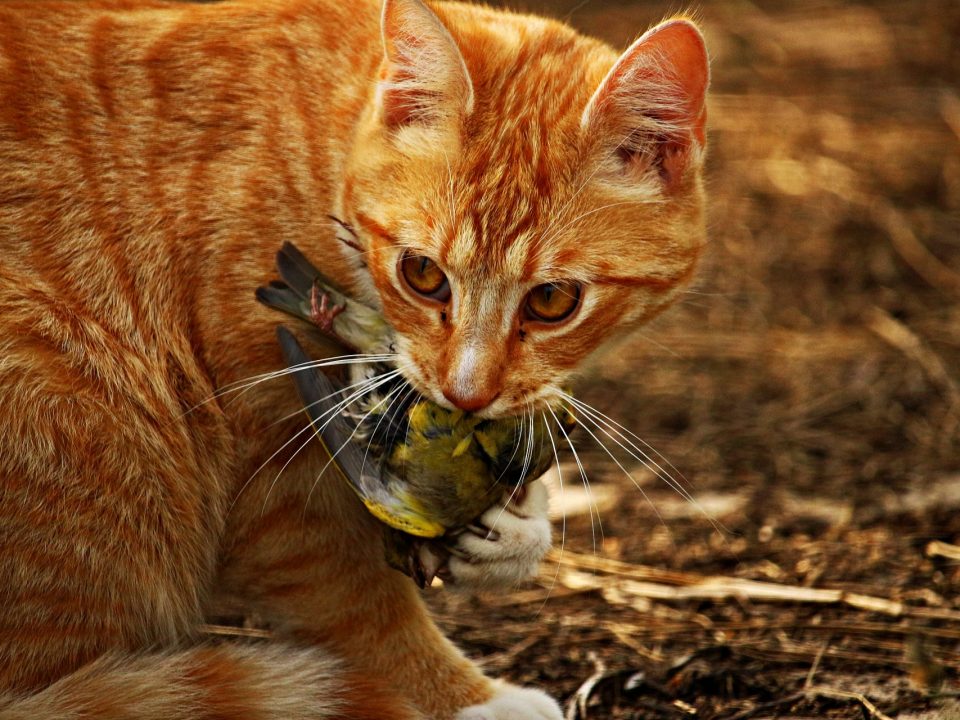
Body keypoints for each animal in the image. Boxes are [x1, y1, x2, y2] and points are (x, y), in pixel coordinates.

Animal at [0, 0, 704, 716]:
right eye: (422, 274)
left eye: (553, 300)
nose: (465, 393)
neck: (328, 156)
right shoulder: (275, 485)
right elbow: (360, 602)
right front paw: (466, 697)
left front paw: (514, 530)